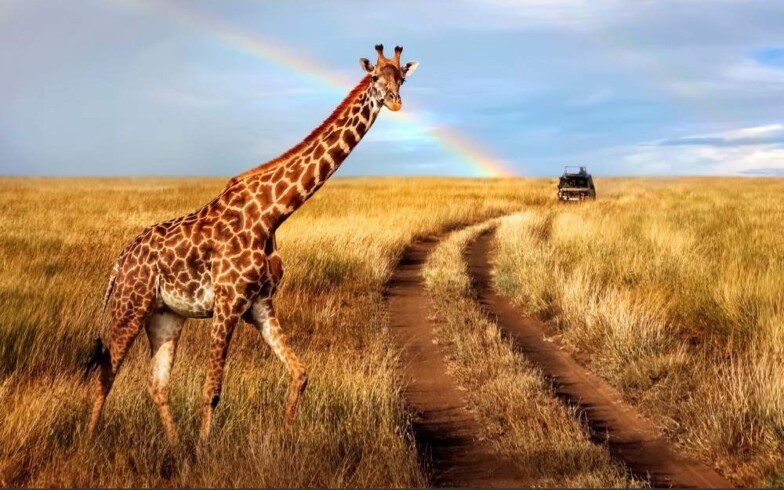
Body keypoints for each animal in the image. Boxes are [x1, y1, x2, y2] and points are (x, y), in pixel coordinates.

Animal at [86, 44, 419, 444]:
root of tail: (121, 260)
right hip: (131, 305)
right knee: (104, 377)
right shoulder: (228, 303)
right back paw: (87, 445)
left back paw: (174, 446)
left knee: (157, 384)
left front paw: (286, 436)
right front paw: (203, 451)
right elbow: (211, 389)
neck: (273, 212)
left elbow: (300, 374)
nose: (396, 102)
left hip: (165, 315)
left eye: (401, 78)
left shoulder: (259, 304)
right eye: (375, 78)